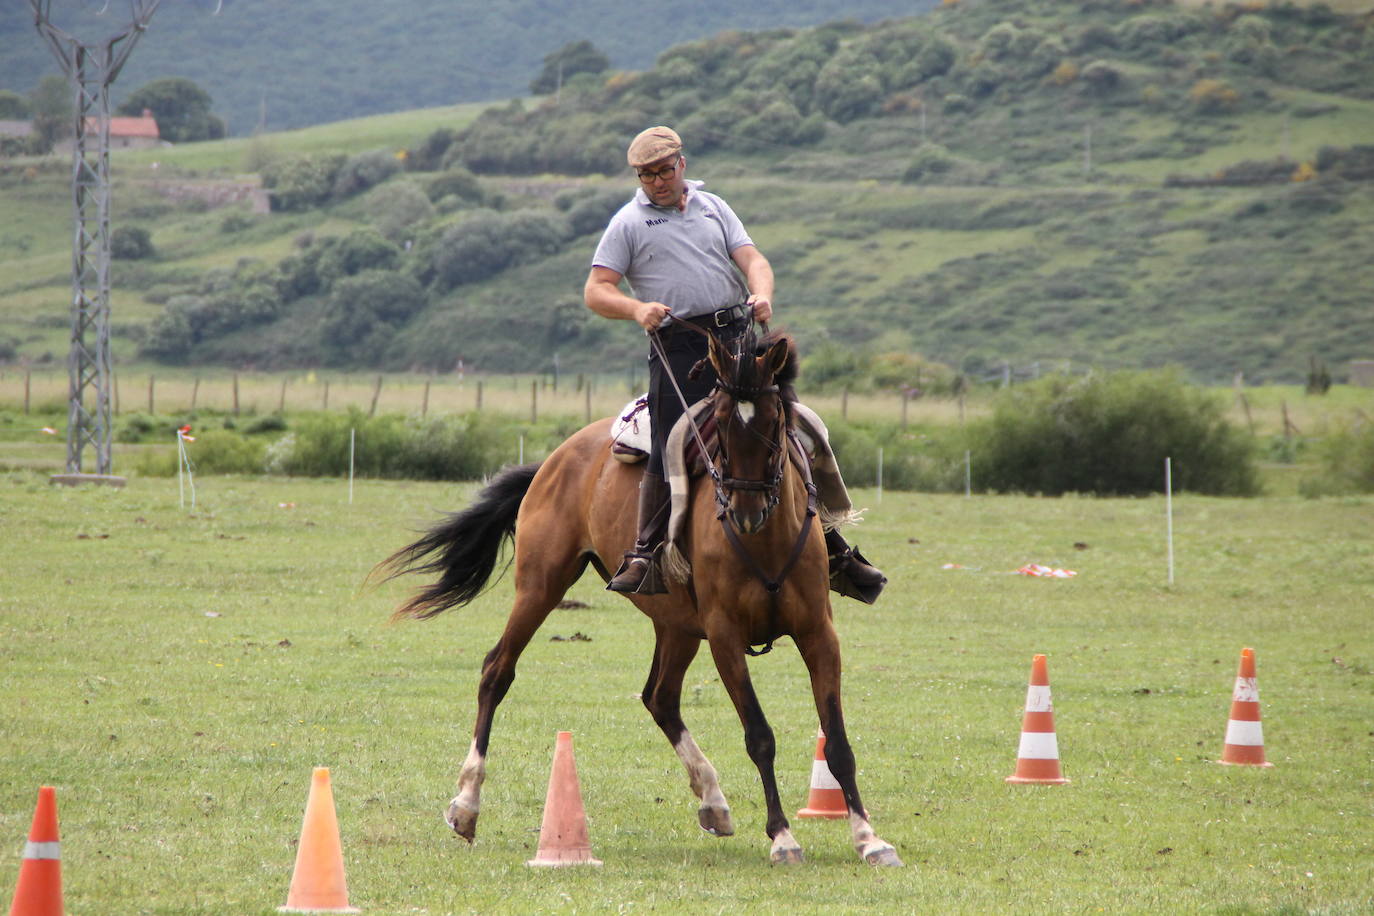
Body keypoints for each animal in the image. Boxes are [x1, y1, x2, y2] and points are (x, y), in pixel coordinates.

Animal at [379, 329, 901, 867]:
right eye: (720, 427)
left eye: (776, 422)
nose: (745, 510)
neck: (765, 542)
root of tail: (555, 458)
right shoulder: (725, 639)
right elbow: (760, 736)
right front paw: (782, 837)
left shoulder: (818, 634)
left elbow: (836, 742)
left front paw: (868, 837)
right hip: (540, 588)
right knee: (496, 672)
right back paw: (466, 804)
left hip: (675, 624)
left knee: (660, 697)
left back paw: (713, 799)